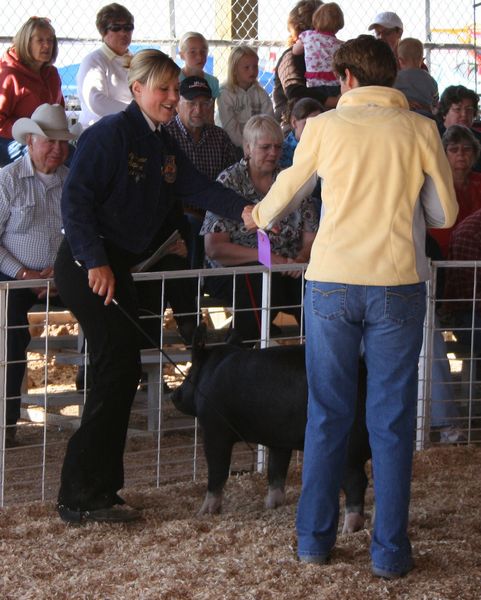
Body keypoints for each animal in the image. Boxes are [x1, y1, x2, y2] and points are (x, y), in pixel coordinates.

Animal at [172, 326, 372, 532]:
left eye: (191, 372)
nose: (174, 394)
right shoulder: (280, 440)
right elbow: (276, 470)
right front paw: (270, 505)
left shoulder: (215, 430)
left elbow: (217, 473)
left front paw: (203, 513)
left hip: (347, 447)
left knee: (357, 481)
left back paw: (348, 529)